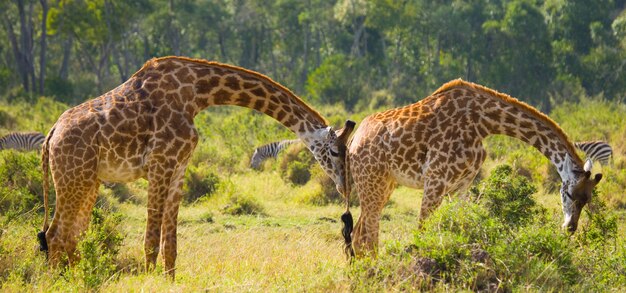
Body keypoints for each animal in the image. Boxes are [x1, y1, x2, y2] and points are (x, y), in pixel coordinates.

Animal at [36, 56, 354, 278]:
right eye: (335, 151)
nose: (345, 187)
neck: (197, 94)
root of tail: (51, 136)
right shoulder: (160, 162)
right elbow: (151, 237)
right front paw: (149, 280)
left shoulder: (179, 165)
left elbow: (171, 244)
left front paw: (169, 281)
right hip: (72, 179)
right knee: (55, 235)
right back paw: (57, 281)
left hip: (89, 181)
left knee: (72, 236)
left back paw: (79, 279)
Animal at [342, 78, 600, 256]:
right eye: (569, 193)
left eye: (587, 199)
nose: (570, 228)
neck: (483, 123)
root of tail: (353, 142)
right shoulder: (435, 180)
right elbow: (422, 230)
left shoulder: (461, 185)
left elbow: (462, 226)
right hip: (372, 182)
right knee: (367, 236)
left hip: (385, 184)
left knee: (360, 232)